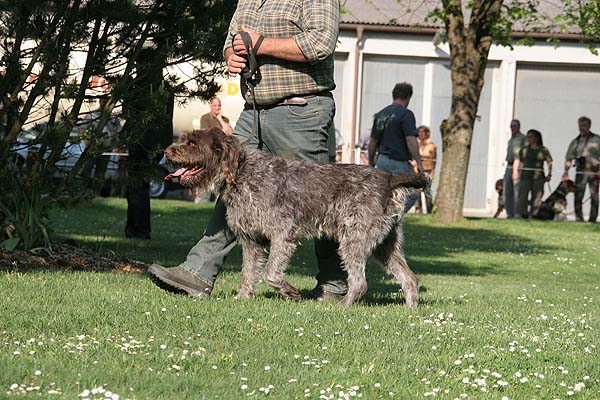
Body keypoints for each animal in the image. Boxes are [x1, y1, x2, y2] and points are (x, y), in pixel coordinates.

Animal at [163, 128, 426, 306]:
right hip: (384, 245)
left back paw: (343, 305)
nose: (166, 151)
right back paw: (410, 310)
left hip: (354, 240)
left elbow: (270, 273)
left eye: (192, 143)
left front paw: (290, 291)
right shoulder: (251, 240)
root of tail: (388, 178)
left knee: (360, 281)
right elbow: (248, 273)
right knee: (409, 278)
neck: (242, 174)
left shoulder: (283, 235)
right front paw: (243, 297)